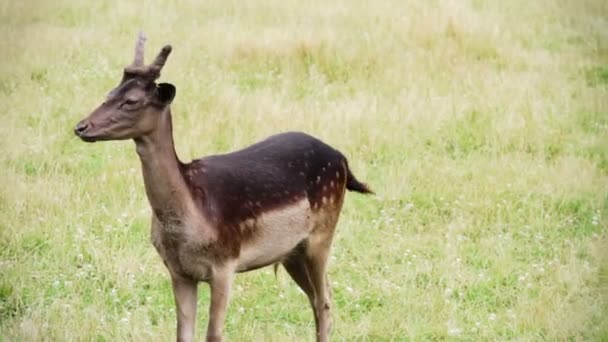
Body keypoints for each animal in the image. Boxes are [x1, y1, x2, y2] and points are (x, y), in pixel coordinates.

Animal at [73, 32, 372, 342]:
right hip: (292, 251)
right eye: (109, 93)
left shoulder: (224, 265)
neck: (189, 218)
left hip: (322, 234)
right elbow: (183, 334)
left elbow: (213, 334)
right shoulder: (178, 271)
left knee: (323, 301)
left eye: (131, 100)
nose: (81, 127)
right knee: (319, 297)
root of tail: (342, 158)